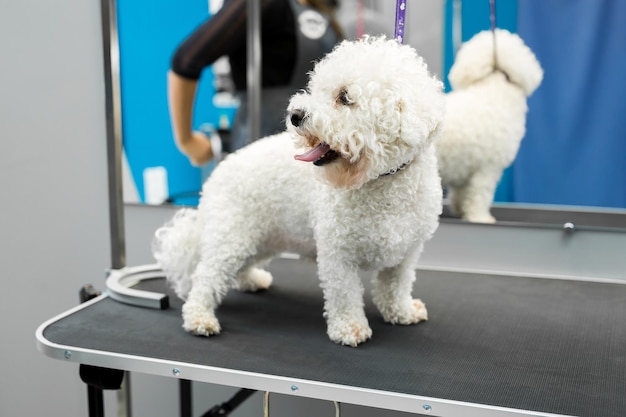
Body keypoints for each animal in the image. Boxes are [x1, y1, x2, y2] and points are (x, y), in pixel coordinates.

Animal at [434, 28, 540, 224]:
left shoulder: (464, 169)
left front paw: (461, 211)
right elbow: (480, 196)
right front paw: (481, 217)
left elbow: (460, 195)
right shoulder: (487, 168)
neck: (494, 89)